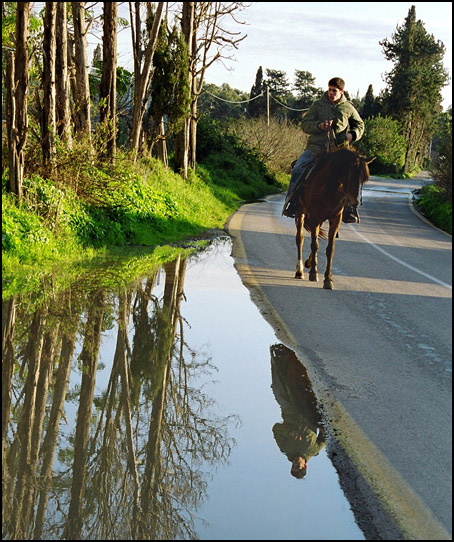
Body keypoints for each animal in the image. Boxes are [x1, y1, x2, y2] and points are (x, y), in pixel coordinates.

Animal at [290, 147, 376, 292]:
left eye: (364, 180)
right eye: (353, 176)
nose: (357, 203)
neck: (328, 187)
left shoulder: (335, 219)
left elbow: (330, 249)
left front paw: (328, 280)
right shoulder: (314, 217)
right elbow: (314, 245)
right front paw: (313, 273)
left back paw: (309, 262)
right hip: (301, 212)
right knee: (300, 238)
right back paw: (300, 271)